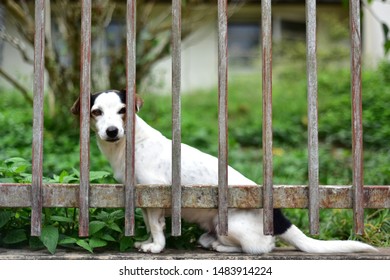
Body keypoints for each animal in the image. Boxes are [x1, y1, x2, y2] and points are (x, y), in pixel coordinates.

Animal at [71, 89, 376, 254]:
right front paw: (146, 241)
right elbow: (148, 225)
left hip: (231, 225)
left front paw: (155, 246)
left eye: (123, 110)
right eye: (97, 112)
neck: (129, 145)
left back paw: (220, 245)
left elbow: (157, 228)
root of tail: (279, 218)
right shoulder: (145, 199)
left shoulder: (156, 194)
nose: (112, 131)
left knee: (261, 248)